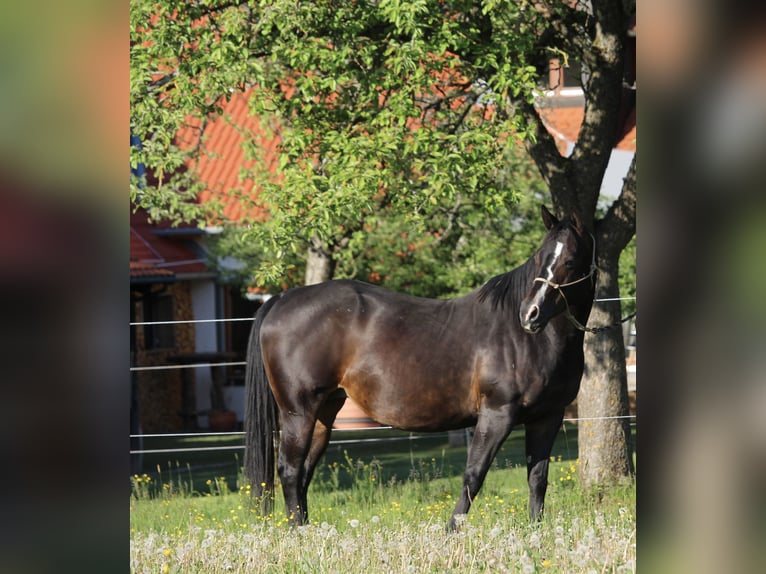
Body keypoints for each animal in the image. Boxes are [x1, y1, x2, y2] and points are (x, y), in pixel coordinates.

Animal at [246, 207, 600, 532]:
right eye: (540, 257)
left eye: (569, 260)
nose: (530, 314)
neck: (527, 339)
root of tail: (281, 299)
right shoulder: (497, 414)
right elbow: (473, 476)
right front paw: (452, 531)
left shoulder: (547, 417)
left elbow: (537, 478)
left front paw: (536, 532)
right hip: (298, 412)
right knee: (290, 470)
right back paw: (297, 533)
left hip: (324, 413)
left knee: (303, 473)